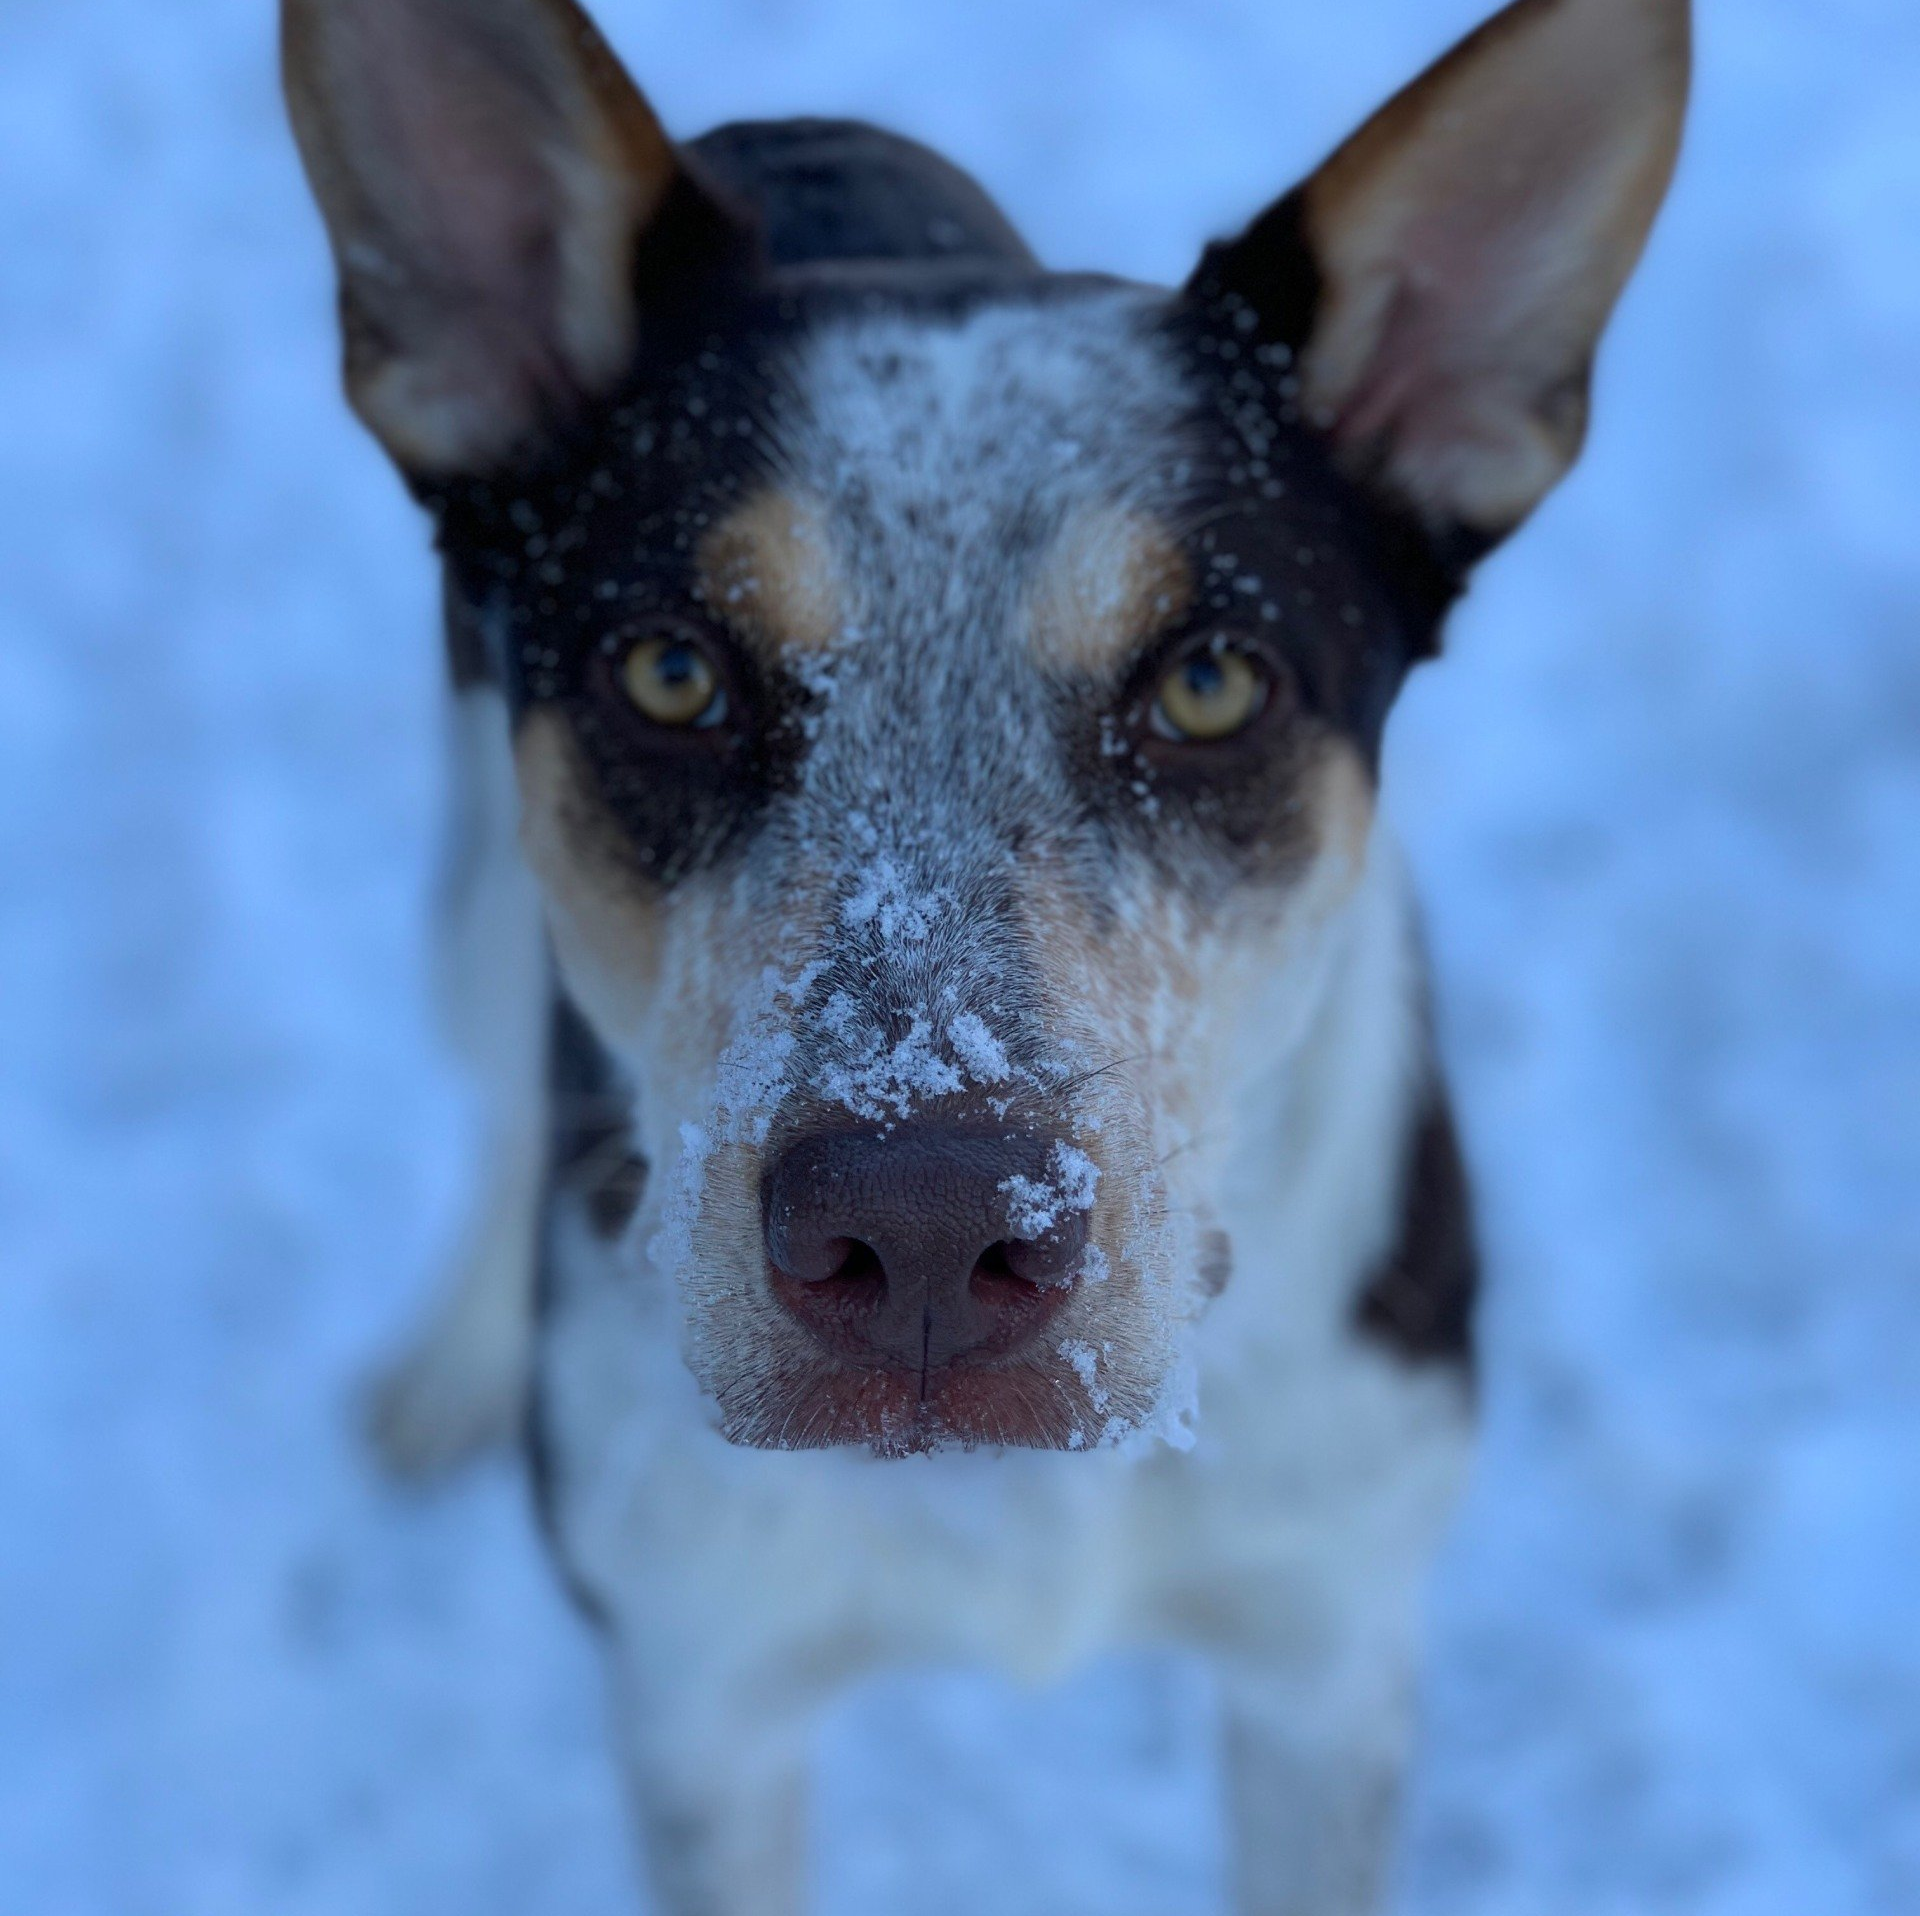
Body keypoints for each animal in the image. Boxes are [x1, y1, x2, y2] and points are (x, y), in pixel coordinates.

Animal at [280, 3, 1681, 1904]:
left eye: (1211, 681)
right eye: (669, 671)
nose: (926, 1231)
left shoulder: (1328, 1656)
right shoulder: (701, 1696)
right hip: (473, 896)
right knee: (504, 1087)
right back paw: (452, 1364)